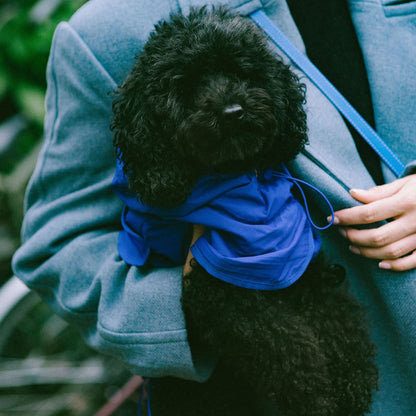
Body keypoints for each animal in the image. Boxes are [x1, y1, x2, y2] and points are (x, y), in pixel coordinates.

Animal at [112, 6, 378, 416]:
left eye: (242, 71)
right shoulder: (221, 288)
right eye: (187, 85)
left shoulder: (300, 262)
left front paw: (352, 380)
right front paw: (319, 399)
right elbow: (283, 349)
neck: (245, 187)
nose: (233, 111)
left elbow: (337, 320)